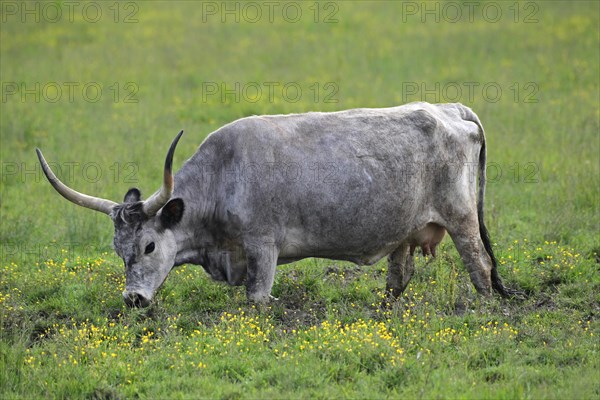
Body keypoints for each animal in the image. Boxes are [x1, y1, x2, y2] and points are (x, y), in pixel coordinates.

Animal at [37, 102, 516, 306]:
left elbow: (257, 298)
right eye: (119, 250)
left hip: (461, 218)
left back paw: (484, 308)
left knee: (480, 265)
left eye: (150, 246)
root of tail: (449, 108)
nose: (133, 299)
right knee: (399, 274)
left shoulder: (262, 247)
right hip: (406, 229)